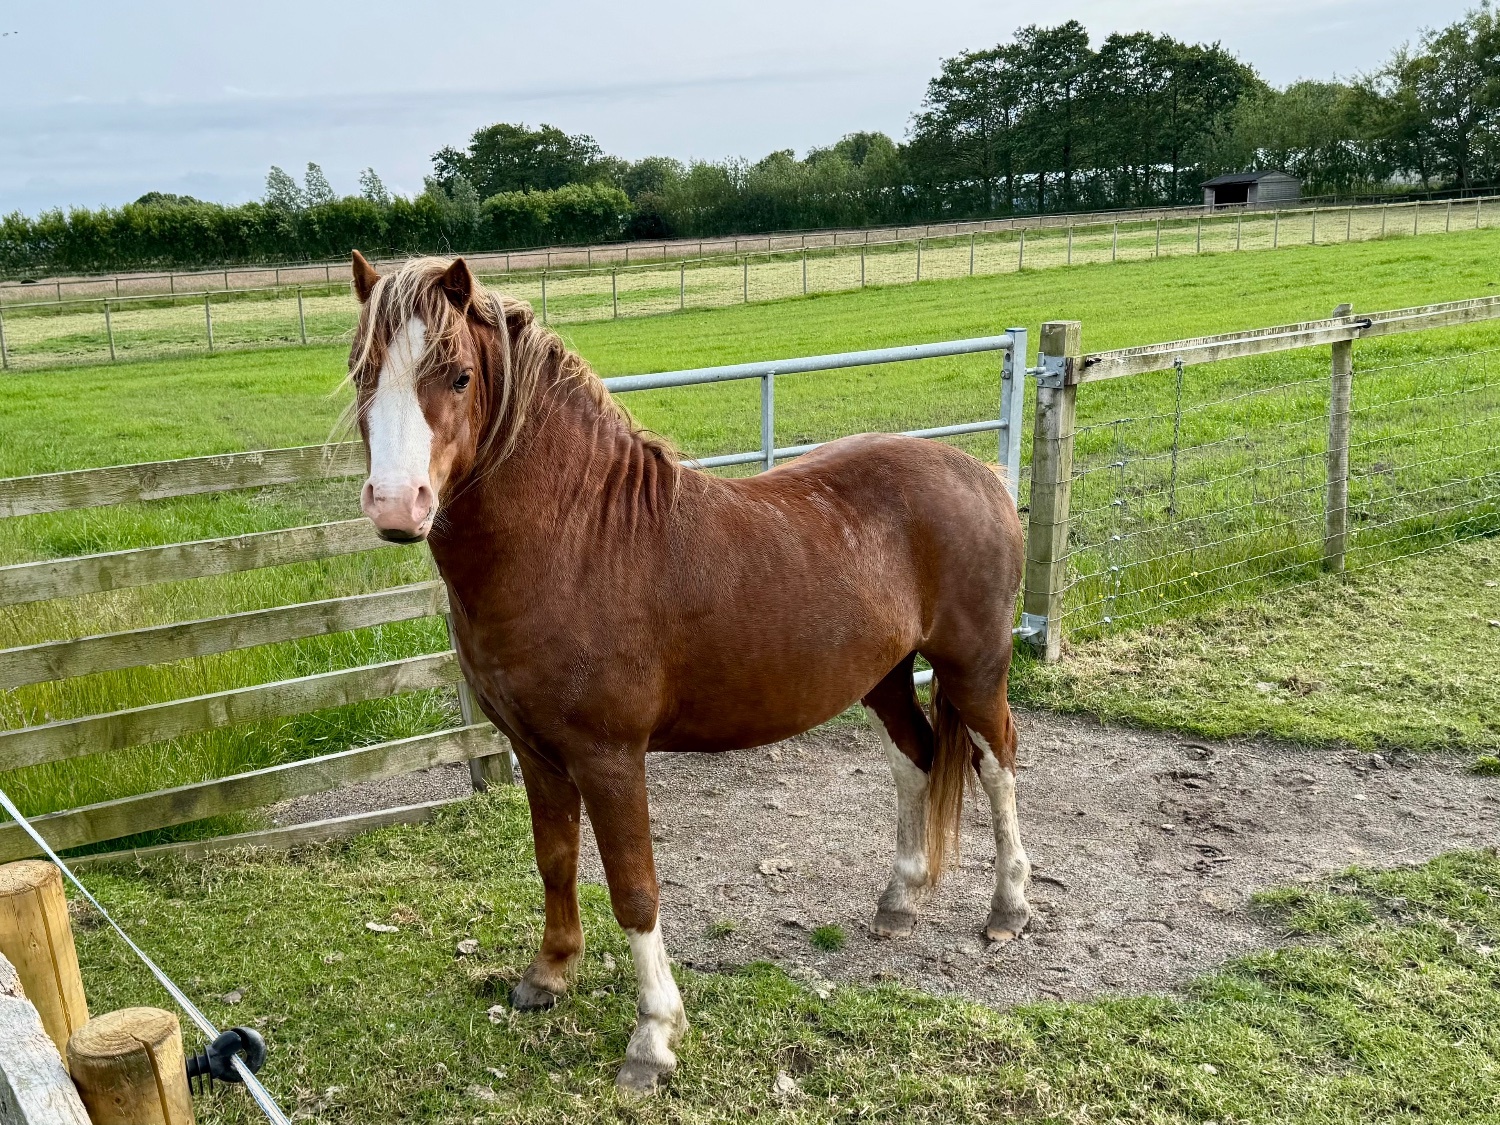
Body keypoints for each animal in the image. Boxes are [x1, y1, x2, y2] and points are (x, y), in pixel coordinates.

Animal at [345, 251, 1031, 1092]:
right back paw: (898, 901)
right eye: (363, 370)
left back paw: (1007, 910)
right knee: (919, 759)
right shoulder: (537, 752)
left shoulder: (608, 758)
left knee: (996, 764)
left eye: (459, 375)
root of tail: (980, 472)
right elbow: (555, 859)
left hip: (974, 667)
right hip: (885, 676)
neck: (573, 541)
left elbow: (635, 888)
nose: (396, 504)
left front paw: (653, 1035)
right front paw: (549, 973)